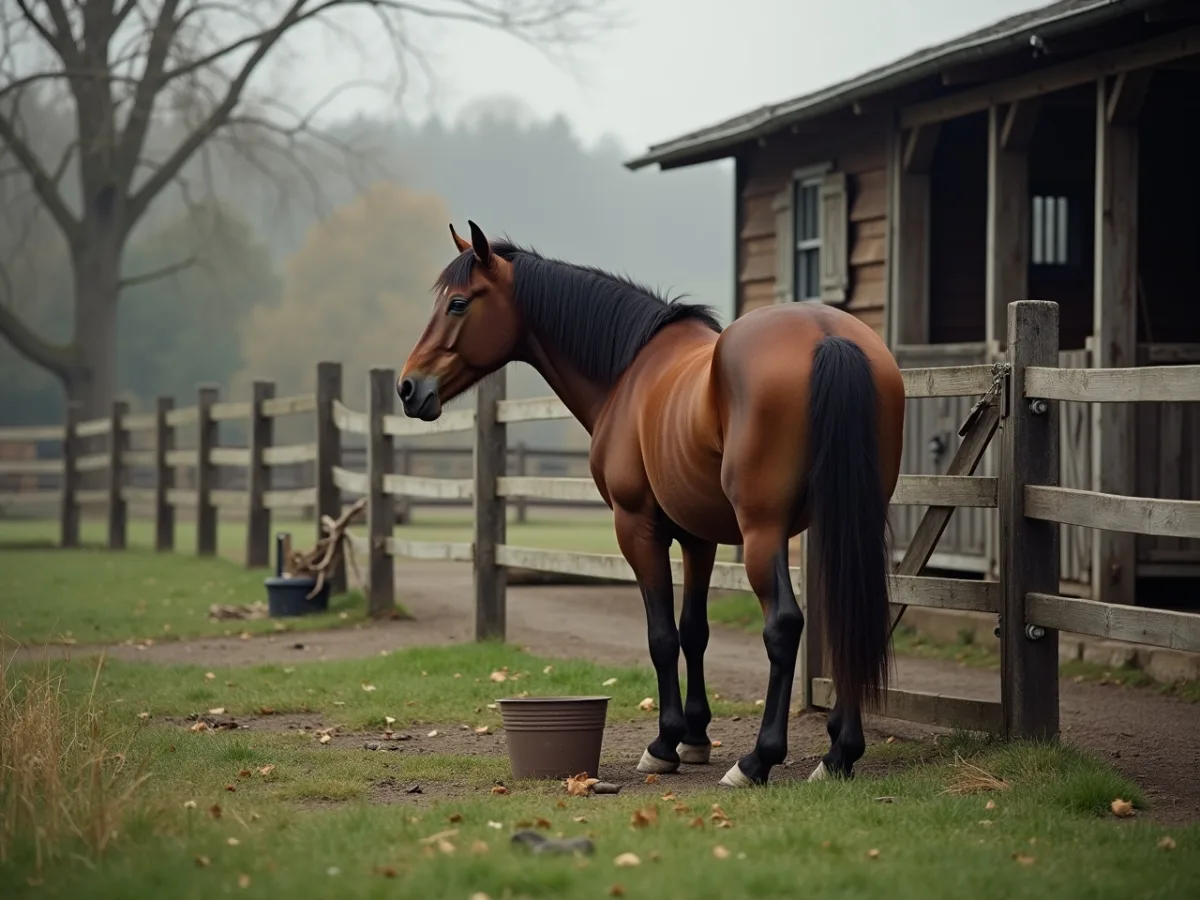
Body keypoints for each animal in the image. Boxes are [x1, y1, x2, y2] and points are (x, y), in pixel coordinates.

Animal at [398, 220, 906, 788]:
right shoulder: (700, 536)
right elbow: (694, 631)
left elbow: (662, 635)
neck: (629, 372)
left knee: (783, 625)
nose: (408, 387)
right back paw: (839, 753)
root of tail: (827, 334)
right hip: (849, 520)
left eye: (458, 303)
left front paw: (664, 744)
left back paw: (758, 760)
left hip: (763, 531)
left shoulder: (637, 527)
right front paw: (696, 737)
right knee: (848, 619)